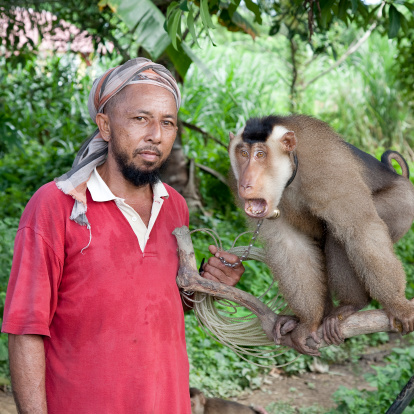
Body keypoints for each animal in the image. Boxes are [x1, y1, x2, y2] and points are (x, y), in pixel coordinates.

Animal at [228, 114, 414, 356]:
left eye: (260, 154)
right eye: (243, 154)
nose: (246, 184)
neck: (289, 177)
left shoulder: (325, 164)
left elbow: (360, 229)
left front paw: (397, 303)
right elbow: (290, 246)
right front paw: (308, 322)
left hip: (403, 203)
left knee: (341, 235)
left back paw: (352, 304)